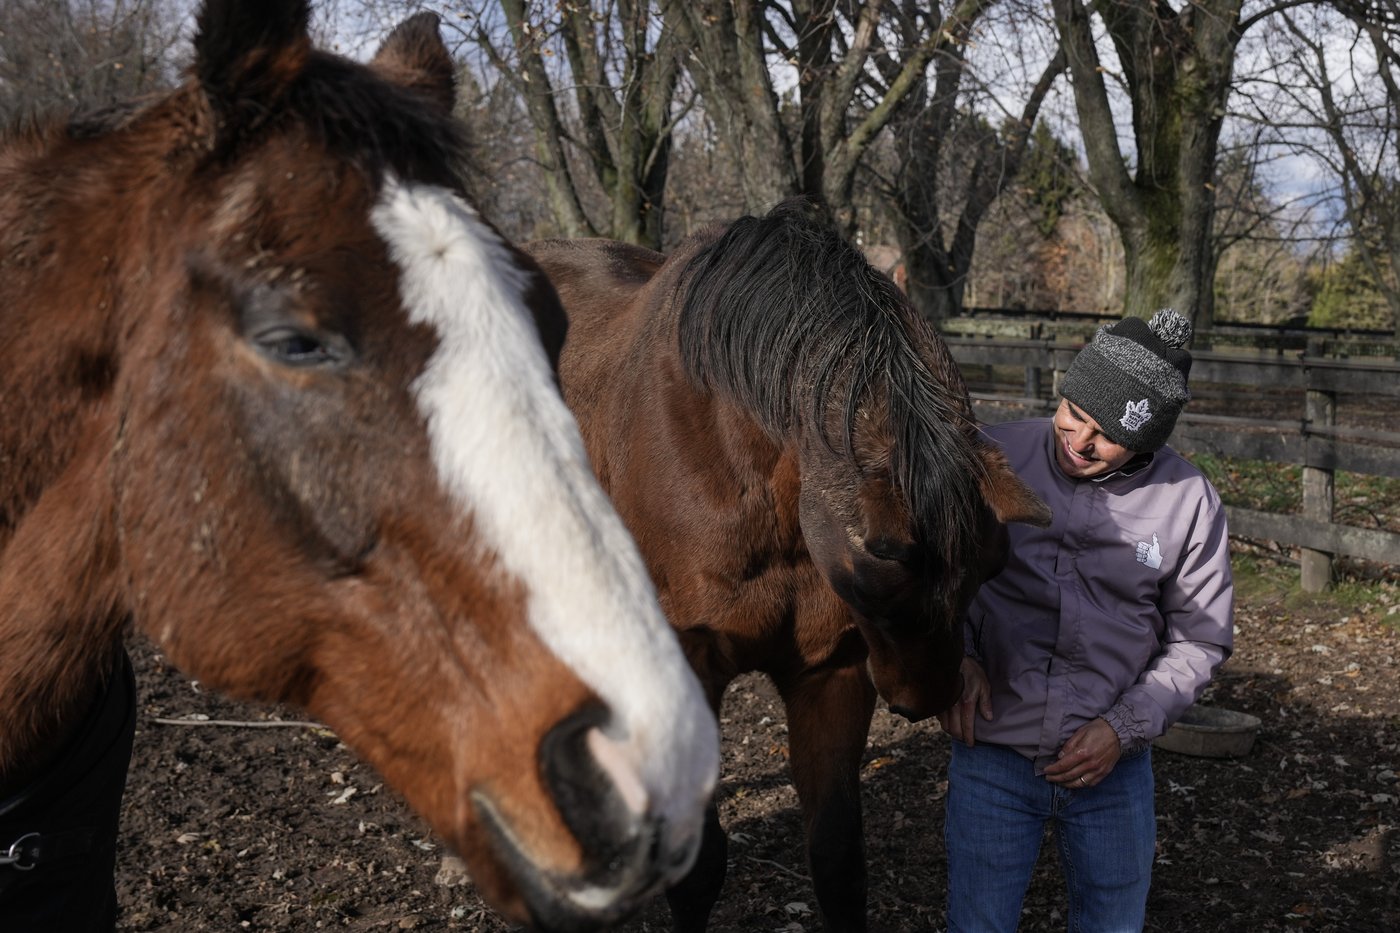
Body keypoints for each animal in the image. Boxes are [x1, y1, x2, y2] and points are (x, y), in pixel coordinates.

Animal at [525, 200, 1051, 933]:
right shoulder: (693, 667)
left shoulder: (832, 672)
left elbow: (837, 857)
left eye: (989, 573)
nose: (925, 699)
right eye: (882, 583)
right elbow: (699, 869)